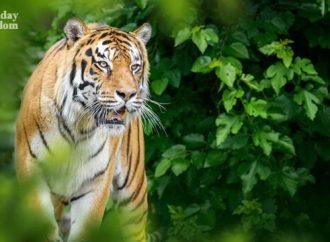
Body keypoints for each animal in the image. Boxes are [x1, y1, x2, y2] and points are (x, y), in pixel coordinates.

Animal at [15, 18, 153, 241]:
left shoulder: (96, 181)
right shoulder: (32, 170)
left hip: (134, 196)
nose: (128, 94)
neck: (78, 127)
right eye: (103, 64)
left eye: (134, 67)